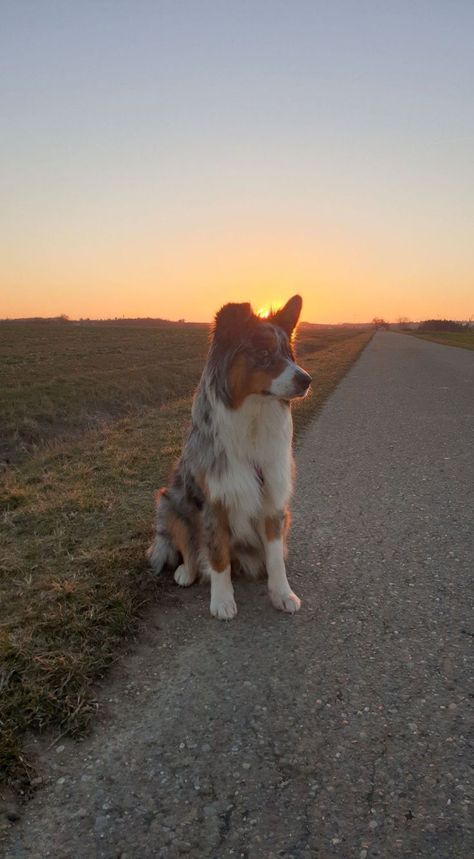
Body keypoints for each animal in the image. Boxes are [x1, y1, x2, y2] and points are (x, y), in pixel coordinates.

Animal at [147, 296, 312, 620]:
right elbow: (218, 555)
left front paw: (282, 593)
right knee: (189, 547)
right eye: (263, 353)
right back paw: (187, 572)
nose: (307, 380)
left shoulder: (273, 499)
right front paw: (222, 600)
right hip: (171, 502)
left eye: (289, 355)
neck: (253, 416)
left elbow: (276, 557)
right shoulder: (215, 500)